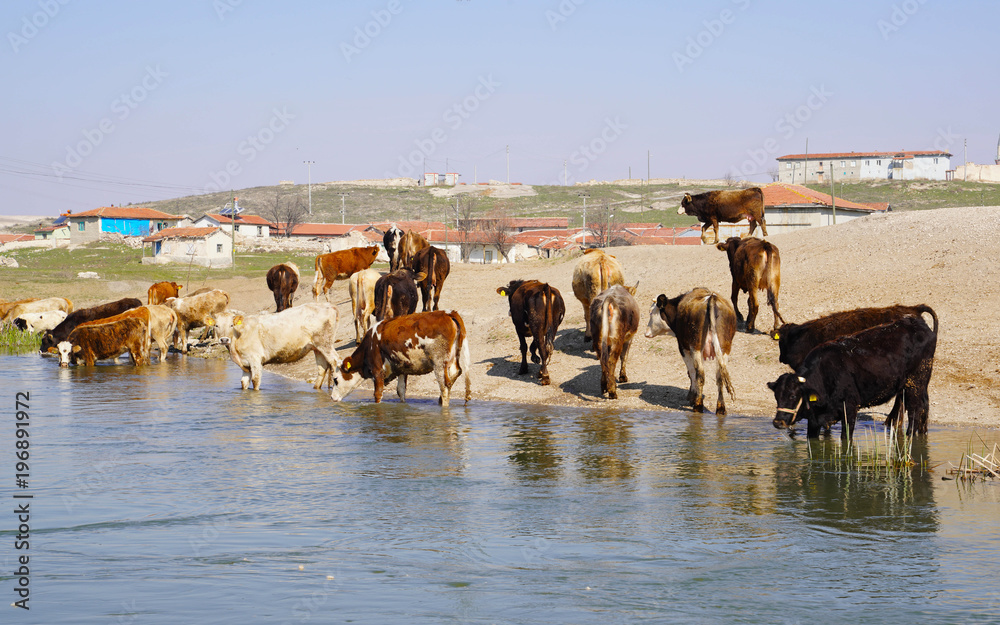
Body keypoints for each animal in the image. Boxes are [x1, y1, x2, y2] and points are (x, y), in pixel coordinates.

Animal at [329, 310, 472, 407]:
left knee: (444, 386)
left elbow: (378, 394)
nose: (331, 397)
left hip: (439, 363)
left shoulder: (377, 371)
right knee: (456, 373)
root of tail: (448, 313)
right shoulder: (402, 368)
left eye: (335, 380)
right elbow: (401, 391)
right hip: (452, 360)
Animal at [769, 315, 938, 439]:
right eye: (776, 396)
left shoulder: (849, 410)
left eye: (792, 396)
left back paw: (911, 436)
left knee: (915, 411)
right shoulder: (814, 420)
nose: (778, 422)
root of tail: (917, 323)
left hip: (915, 384)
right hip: (914, 385)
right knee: (922, 407)